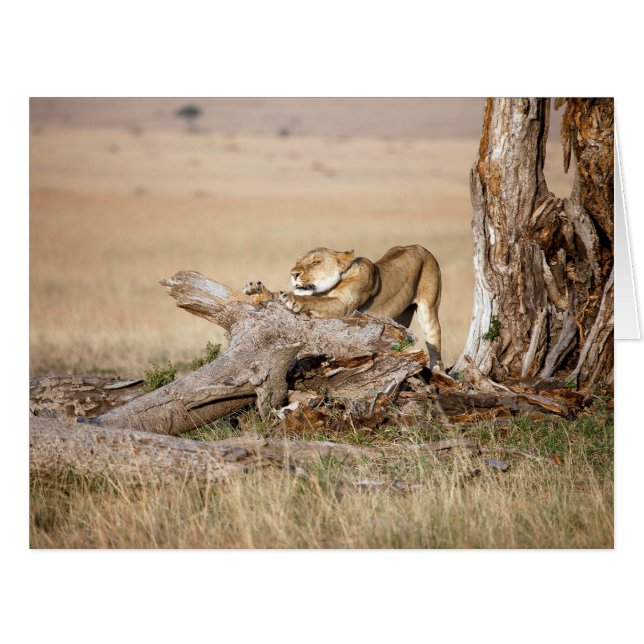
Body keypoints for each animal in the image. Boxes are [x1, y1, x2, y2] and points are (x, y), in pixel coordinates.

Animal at [243, 244, 444, 371]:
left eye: (315, 262)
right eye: (298, 261)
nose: (293, 273)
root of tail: (418, 246)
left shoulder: (343, 306)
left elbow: (313, 301)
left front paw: (292, 299)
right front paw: (256, 289)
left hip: (429, 310)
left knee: (435, 347)